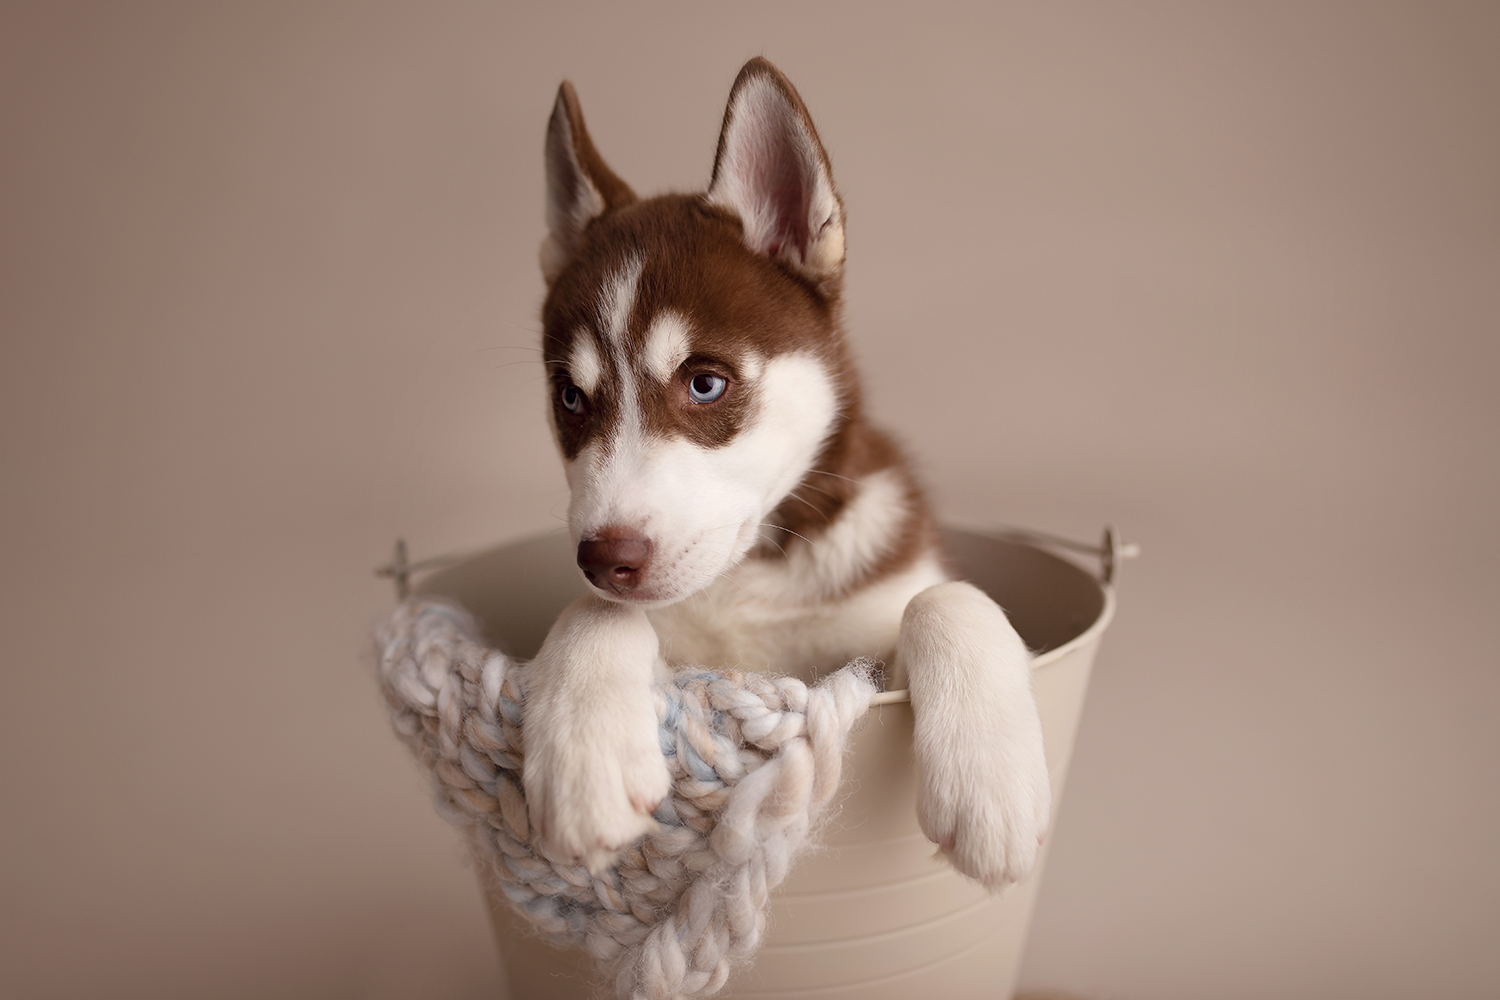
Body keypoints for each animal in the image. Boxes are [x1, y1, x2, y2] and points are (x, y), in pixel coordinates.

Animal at [522, 58, 1050, 893]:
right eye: (571, 399)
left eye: (705, 383)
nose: (607, 558)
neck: (751, 579)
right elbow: (595, 612)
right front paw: (584, 764)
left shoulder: (874, 634)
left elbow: (945, 596)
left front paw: (991, 786)